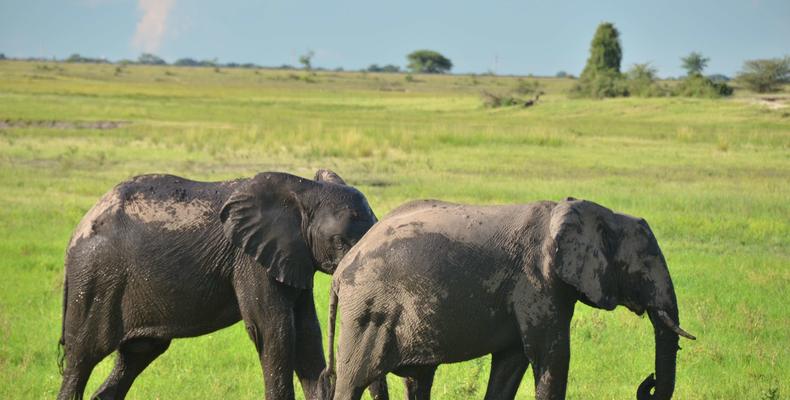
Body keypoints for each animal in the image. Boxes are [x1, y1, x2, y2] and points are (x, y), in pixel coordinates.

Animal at [57, 170, 388, 400]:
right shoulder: (250, 259)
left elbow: (307, 334)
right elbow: (274, 331)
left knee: (136, 354)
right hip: (96, 278)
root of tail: (79, 227)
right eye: (340, 241)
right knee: (82, 357)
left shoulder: (294, 256)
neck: (304, 190)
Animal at [318, 198, 696, 400]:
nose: (647, 381)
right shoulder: (537, 283)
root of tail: (341, 272)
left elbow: (512, 362)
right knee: (353, 382)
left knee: (418, 380)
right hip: (368, 312)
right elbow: (551, 356)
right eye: (646, 264)